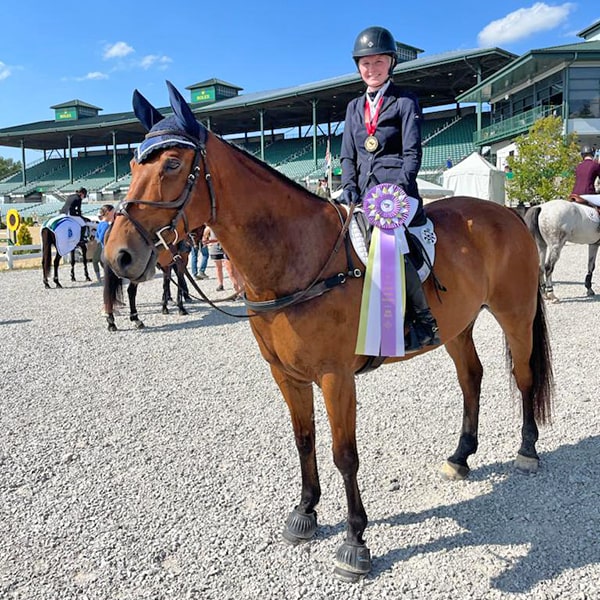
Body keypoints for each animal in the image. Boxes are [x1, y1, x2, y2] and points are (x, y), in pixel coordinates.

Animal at [102, 83, 552, 580]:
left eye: (172, 164)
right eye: (131, 166)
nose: (118, 256)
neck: (297, 256)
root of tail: (509, 214)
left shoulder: (336, 378)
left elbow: (344, 454)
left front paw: (355, 541)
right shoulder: (287, 375)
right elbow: (304, 441)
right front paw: (305, 512)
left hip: (515, 313)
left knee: (524, 376)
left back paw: (528, 450)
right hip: (458, 326)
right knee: (471, 377)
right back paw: (460, 457)